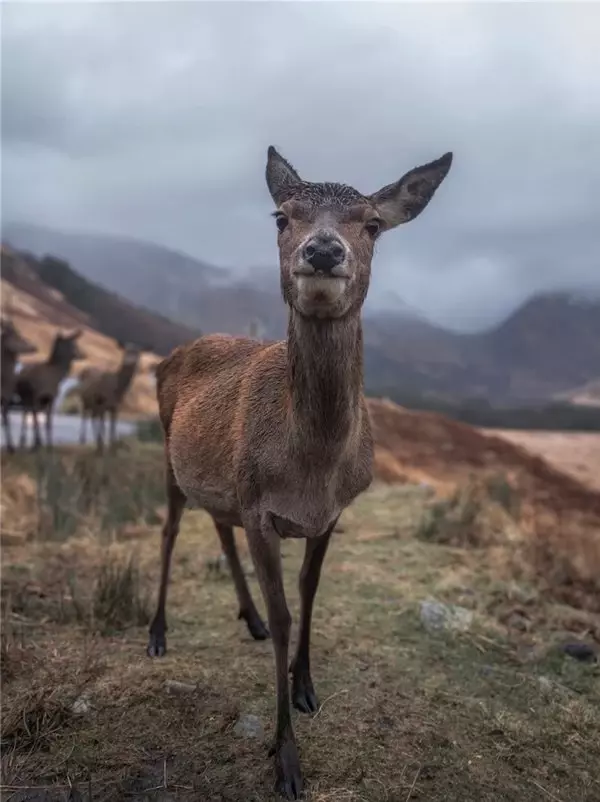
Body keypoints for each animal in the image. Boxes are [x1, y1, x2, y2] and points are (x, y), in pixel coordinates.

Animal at [0, 318, 36, 454]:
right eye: (17, 335)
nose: (34, 346)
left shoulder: (6, 396)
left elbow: (6, 418)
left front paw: (11, 447)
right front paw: (10, 447)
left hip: (28, 398)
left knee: (28, 412)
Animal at [148, 147, 452, 796]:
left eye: (372, 224)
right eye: (282, 216)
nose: (323, 251)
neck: (311, 470)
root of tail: (170, 356)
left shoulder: (330, 513)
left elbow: (310, 591)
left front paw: (306, 684)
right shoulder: (261, 508)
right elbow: (289, 612)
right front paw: (286, 759)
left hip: (221, 480)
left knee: (219, 527)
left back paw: (251, 619)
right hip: (169, 454)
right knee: (169, 530)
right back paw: (158, 633)